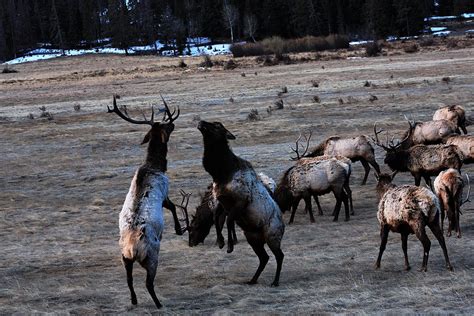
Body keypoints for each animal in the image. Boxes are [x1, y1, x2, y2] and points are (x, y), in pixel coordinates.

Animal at [108, 95, 188, 308]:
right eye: (166, 125)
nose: (173, 124)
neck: (156, 165)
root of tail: (131, 250)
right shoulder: (164, 191)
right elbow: (172, 207)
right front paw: (179, 229)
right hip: (152, 256)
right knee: (148, 283)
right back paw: (159, 303)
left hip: (124, 259)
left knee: (129, 280)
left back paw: (134, 300)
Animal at [197, 119, 284, 286]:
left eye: (218, 125)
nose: (201, 122)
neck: (221, 172)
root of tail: (284, 225)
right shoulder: (221, 201)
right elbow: (216, 220)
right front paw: (221, 242)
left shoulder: (241, 201)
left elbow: (229, 221)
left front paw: (230, 246)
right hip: (253, 238)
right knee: (264, 258)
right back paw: (252, 280)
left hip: (272, 236)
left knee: (279, 256)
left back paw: (275, 282)